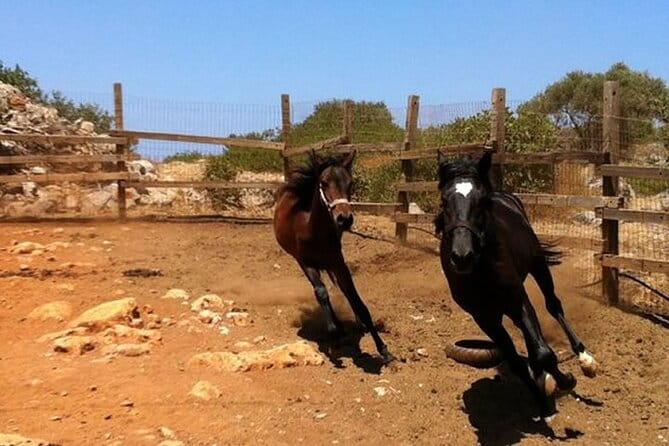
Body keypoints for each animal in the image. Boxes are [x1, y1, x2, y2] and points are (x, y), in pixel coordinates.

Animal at [273, 150, 395, 364]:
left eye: (350, 183)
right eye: (323, 183)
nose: (344, 218)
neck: (312, 230)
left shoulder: (338, 263)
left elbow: (356, 299)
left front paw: (384, 350)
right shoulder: (306, 263)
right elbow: (322, 293)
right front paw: (334, 334)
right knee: (323, 293)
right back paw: (337, 328)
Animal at [435, 150, 597, 421]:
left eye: (482, 201)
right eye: (444, 201)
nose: (462, 256)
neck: (481, 272)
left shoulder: (518, 301)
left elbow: (544, 353)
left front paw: (565, 381)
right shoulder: (484, 318)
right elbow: (517, 363)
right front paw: (542, 403)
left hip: (539, 266)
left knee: (553, 306)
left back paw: (585, 358)